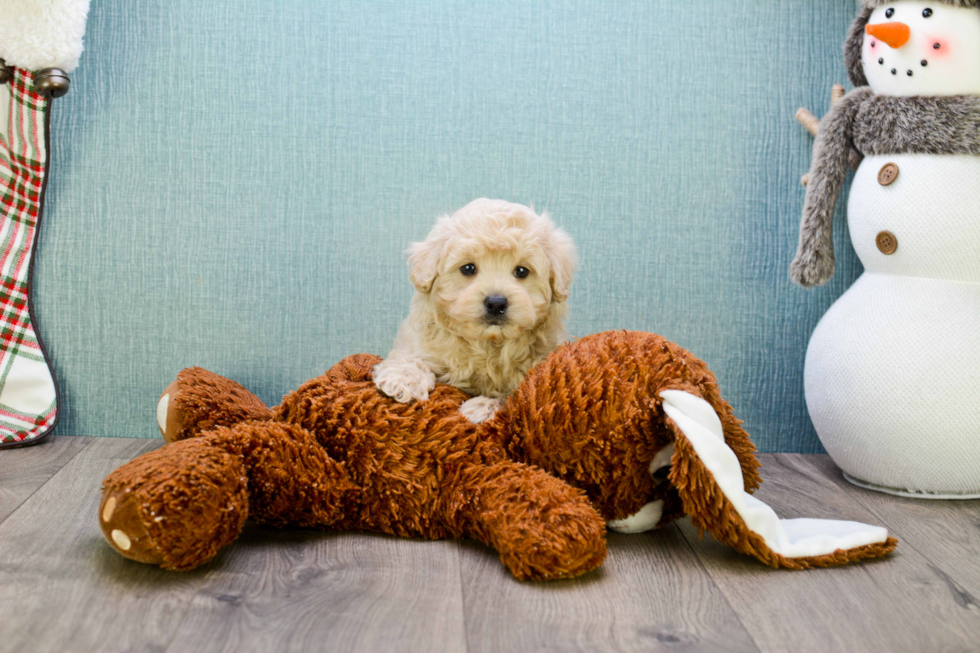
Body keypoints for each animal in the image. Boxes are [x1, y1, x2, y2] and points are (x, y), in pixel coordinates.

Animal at [374, 199, 576, 422]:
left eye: (522, 271)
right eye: (468, 268)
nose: (496, 303)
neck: (487, 343)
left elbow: (514, 396)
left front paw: (483, 406)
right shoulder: (418, 338)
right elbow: (409, 355)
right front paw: (404, 378)